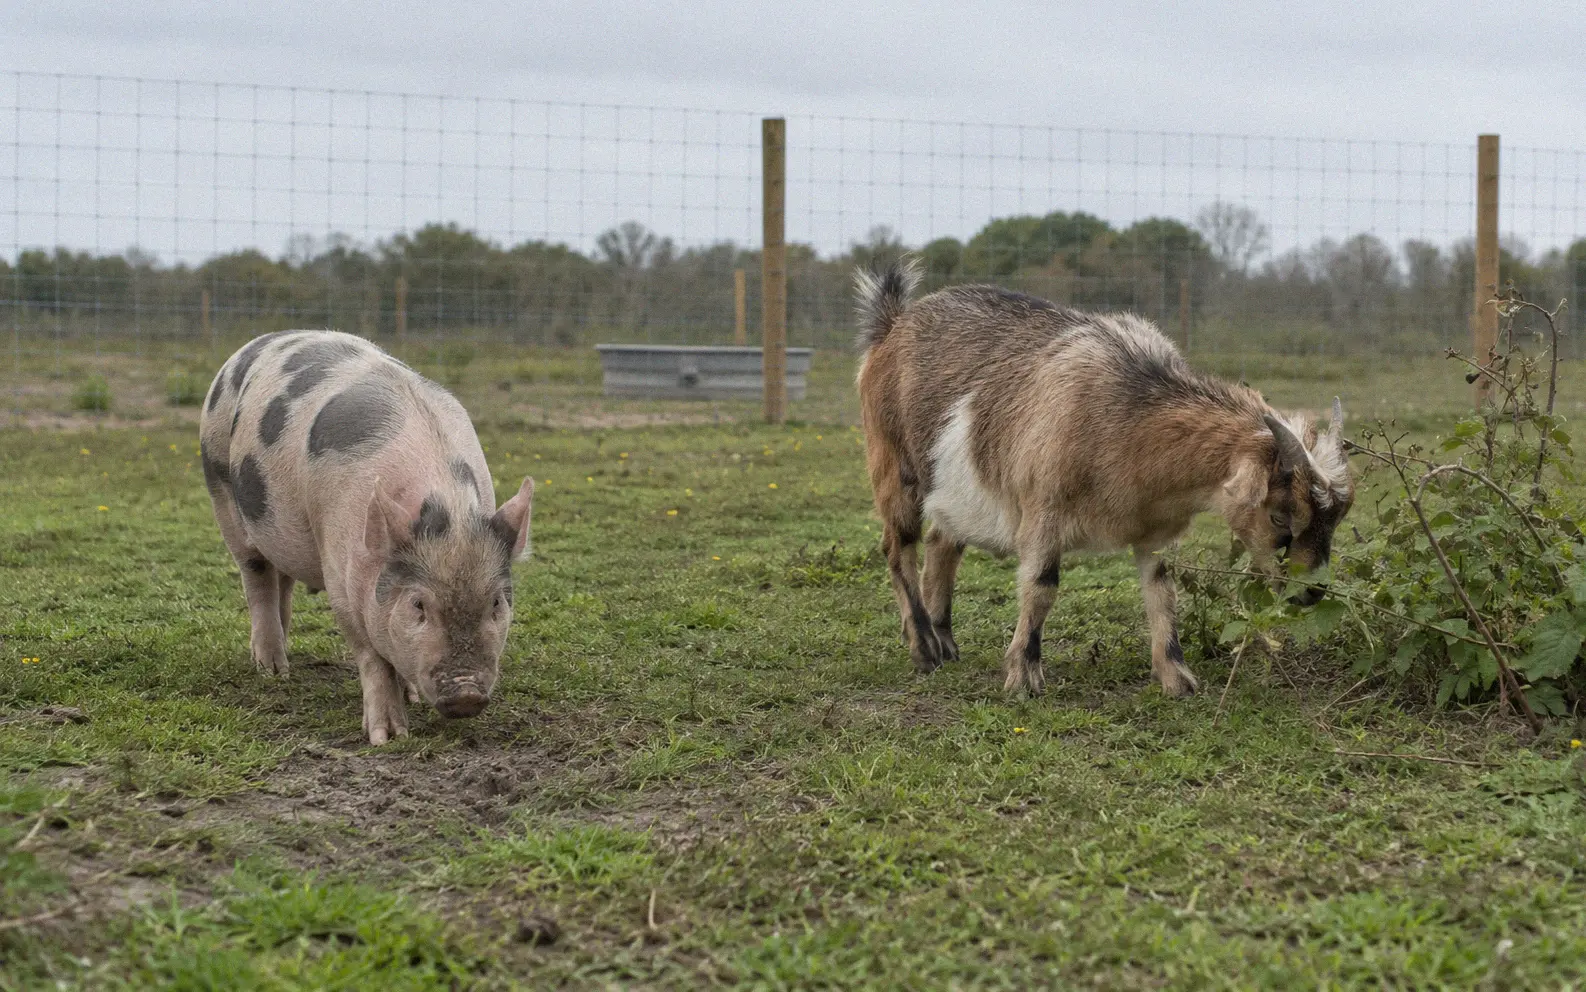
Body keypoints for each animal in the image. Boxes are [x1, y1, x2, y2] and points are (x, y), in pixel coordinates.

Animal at [199, 330, 534, 744]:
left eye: (497, 603)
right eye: (418, 604)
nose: (467, 693)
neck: (448, 508)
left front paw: (411, 698)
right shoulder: (340, 571)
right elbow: (371, 655)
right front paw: (388, 736)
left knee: (282, 580)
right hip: (220, 485)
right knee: (256, 577)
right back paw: (274, 670)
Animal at [854, 260, 1354, 697]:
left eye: (1336, 520)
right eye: (1281, 517)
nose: (1312, 593)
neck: (1129, 421)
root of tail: (892, 324)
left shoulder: (1155, 531)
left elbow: (1162, 592)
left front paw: (1177, 679)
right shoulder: (1043, 511)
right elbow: (1041, 586)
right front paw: (1023, 678)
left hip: (955, 490)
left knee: (943, 542)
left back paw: (946, 642)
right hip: (893, 465)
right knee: (898, 547)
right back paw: (924, 650)